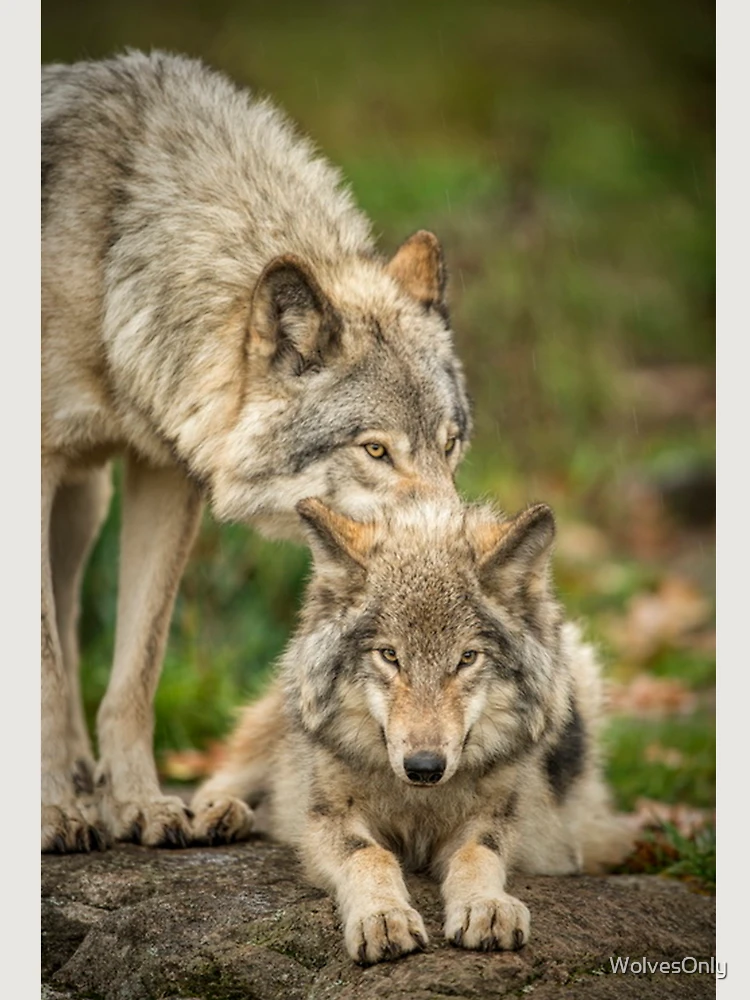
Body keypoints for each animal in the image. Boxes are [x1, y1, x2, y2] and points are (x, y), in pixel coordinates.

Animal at [41, 50, 471, 853]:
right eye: (375, 450)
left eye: (451, 446)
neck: (115, 244)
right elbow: (47, 671)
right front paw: (54, 814)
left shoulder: (164, 472)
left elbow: (135, 673)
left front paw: (140, 806)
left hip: (85, 509)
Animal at [191, 497, 633, 963]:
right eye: (389, 655)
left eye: (467, 658)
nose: (424, 767)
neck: (418, 802)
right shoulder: (327, 819)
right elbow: (369, 855)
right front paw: (383, 917)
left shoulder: (501, 821)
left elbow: (477, 854)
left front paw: (485, 906)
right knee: (227, 775)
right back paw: (218, 814)